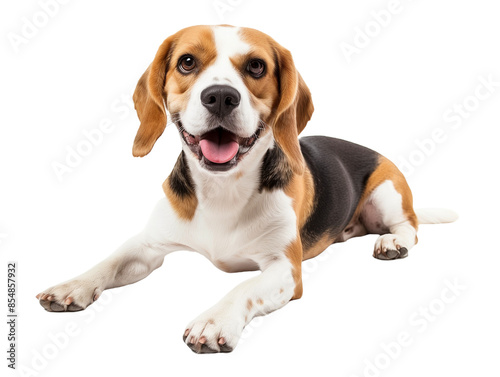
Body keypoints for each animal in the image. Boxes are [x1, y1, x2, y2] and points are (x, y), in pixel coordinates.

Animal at [36, 25, 458, 352]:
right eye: (187, 62)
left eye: (256, 66)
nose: (221, 96)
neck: (223, 188)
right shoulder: (149, 245)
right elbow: (110, 260)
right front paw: (73, 285)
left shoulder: (285, 268)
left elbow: (244, 287)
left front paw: (214, 321)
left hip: (387, 191)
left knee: (409, 227)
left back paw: (392, 242)